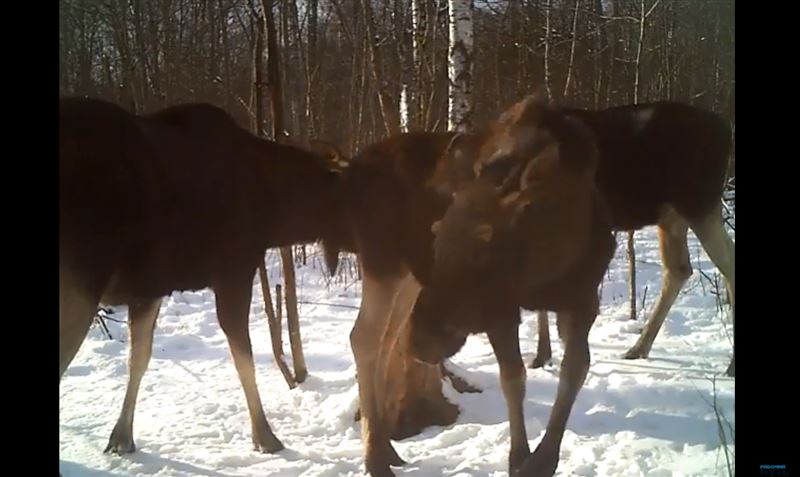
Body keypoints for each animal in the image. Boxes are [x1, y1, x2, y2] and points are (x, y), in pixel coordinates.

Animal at [532, 101, 736, 376]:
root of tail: (726, 131)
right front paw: (542, 356)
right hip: (671, 215)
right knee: (680, 269)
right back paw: (639, 348)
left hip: (698, 203)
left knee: (725, 265)